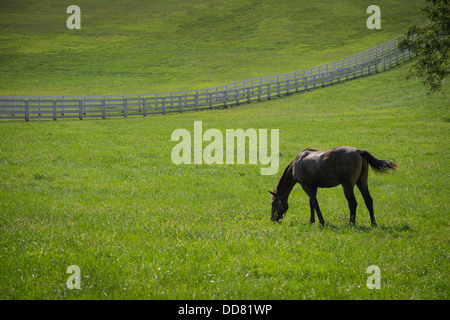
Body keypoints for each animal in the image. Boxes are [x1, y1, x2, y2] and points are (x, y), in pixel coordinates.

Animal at [268, 146, 396, 226]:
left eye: (273, 203)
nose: (272, 219)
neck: (297, 162)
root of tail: (358, 151)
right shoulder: (313, 186)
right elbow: (311, 203)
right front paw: (312, 221)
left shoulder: (306, 185)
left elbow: (315, 203)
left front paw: (321, 221)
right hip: (362, 183)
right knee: (368, 201)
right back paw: (373, 223)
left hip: (347, 186)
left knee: (352, 203)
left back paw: (351, 223)